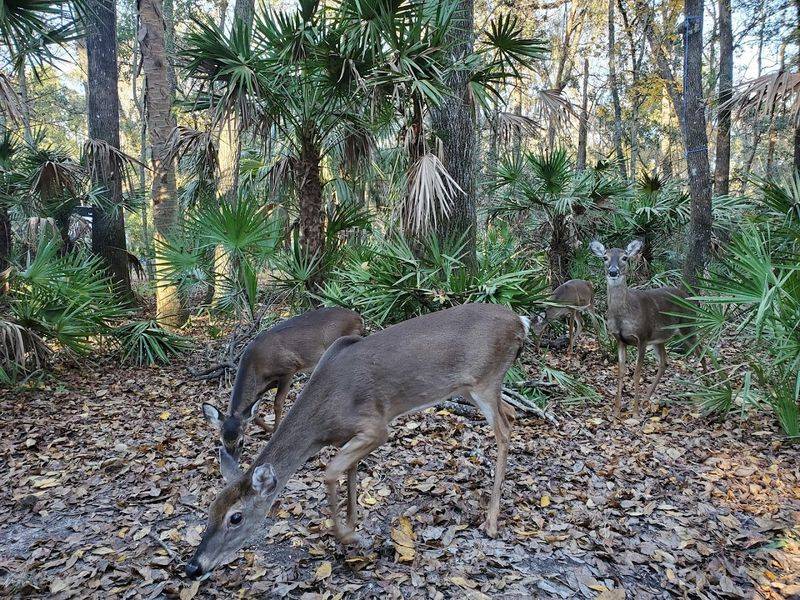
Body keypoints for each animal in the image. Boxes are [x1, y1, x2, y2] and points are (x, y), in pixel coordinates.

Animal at [201, 307, 364, 462]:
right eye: (221, 441)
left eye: (241, 441)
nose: (232, 461)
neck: (256, 366)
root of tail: (358, 317)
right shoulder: (263, 386)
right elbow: (255, 414)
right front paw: (268, 428)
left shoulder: (288, 369)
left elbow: (277, 403)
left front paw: (275, 431)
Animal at [589, 239, 706, 417]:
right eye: (604, 257)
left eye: (625, 257)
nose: (613, 272)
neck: (623, 315)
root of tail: (688, 296)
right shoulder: (619, 339)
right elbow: (621, 372)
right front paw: (616, 411)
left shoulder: (642, 337)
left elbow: (637, 373)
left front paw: (635, 412)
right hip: (660, 338)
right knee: (664, 362)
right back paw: (646, 399)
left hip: (687, 326)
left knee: (702, 352)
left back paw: (709, 386)